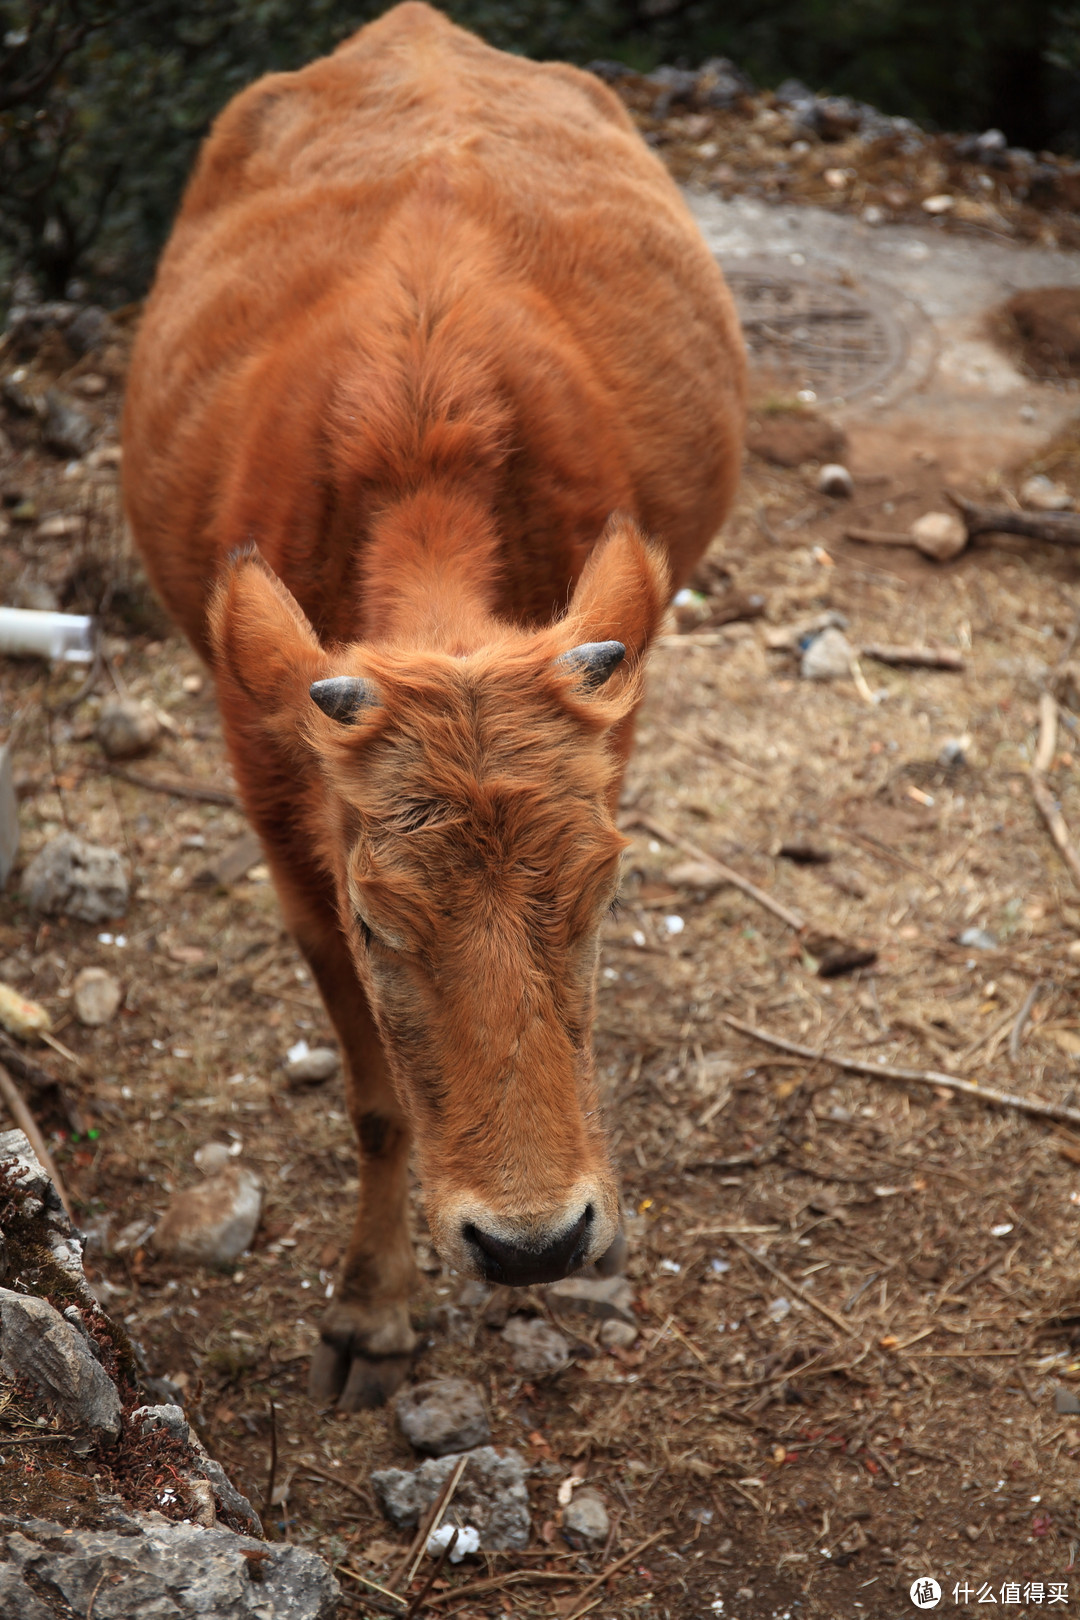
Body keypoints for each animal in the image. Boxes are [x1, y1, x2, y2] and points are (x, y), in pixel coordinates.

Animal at [118, 3, 744, 1406]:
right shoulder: (282, 817)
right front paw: (373, 1303)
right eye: (375, 916)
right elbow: (375, 1097)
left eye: (605, 889)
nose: (533, 1242)